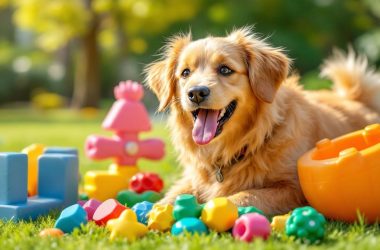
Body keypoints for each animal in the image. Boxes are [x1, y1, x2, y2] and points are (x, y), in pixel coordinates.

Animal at [144, 26, 380, 215]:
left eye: (225, 69)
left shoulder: (293, 189)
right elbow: (172, 195)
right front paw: (155, 210)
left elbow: (246, 195)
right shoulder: (191, 179)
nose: (196, 93)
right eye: (185, 73)